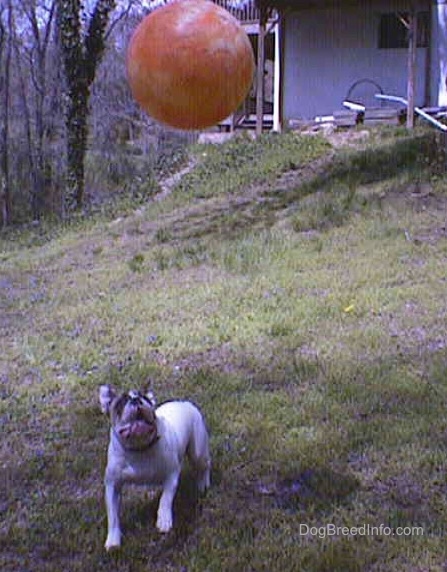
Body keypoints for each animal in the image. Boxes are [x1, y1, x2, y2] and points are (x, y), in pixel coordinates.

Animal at [99, 384, 211, 548]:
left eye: (144, 398)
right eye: (121, 402)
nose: (136, 400)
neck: (140, 448)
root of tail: (184, 403)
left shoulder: (171, 475)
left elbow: (166, 498)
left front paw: (164, 519)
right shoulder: (113, 485)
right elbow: (113, 515)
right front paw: (113, 540)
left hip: (198, 451)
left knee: (204, 465)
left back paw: (203, 483)